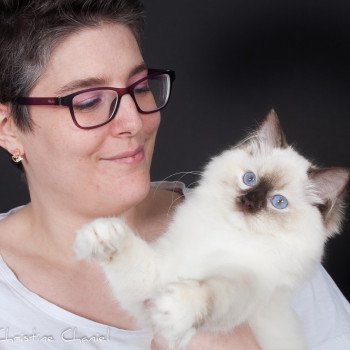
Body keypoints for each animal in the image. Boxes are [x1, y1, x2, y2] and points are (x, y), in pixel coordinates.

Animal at [73, 111, 348, 350]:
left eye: (278, 202)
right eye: (249, 179)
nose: (249, 203)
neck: (224, 233)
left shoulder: (245, 286)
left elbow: (211, 293)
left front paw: (176, 308)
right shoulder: (152, 280)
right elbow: (129, 252)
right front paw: (100, 235)